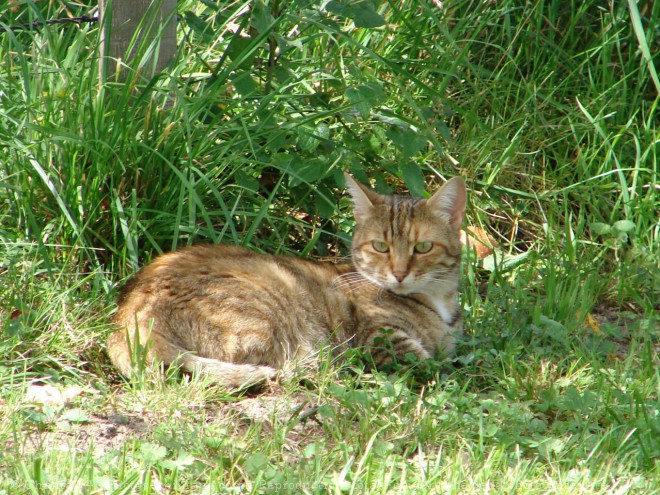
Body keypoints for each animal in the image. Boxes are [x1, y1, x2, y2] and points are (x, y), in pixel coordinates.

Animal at [105, 173, 466, 388]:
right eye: (381, 246)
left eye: (422, 247)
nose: (399, 273)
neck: (439, 304)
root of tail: (127, 317)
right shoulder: (380, 339)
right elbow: (432, 365)